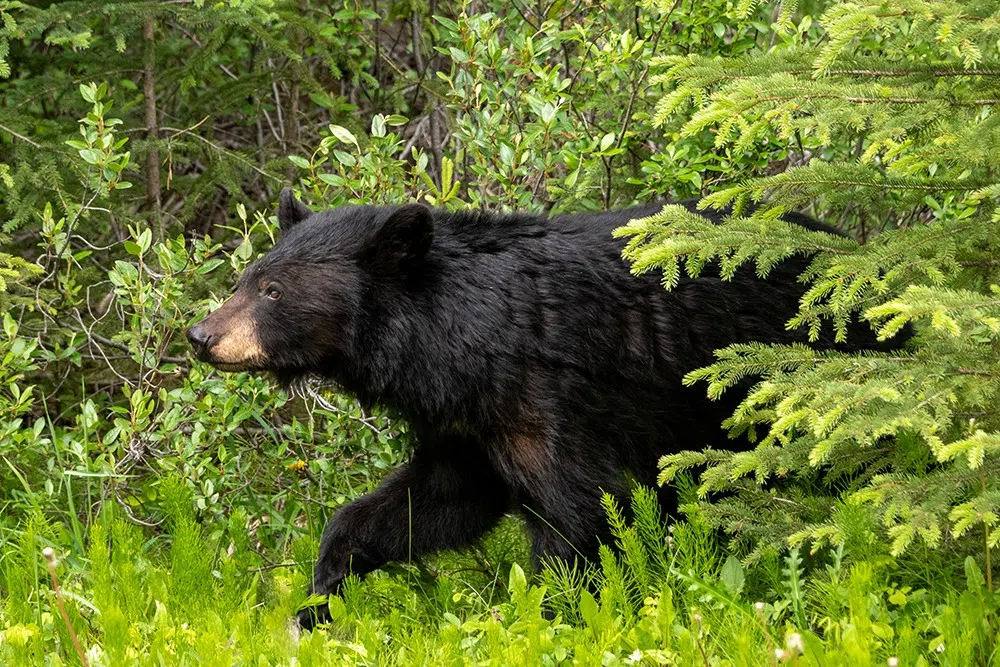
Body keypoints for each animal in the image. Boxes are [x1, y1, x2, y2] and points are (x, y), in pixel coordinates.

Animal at [186, 188, 898, 629]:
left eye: (272, 290)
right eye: (247, 277)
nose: (201, 335)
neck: (463, 338)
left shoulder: (547, 394)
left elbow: (577, 513)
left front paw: (562, 617)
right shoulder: (467, 423)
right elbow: (433, 501)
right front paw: (317, 600)